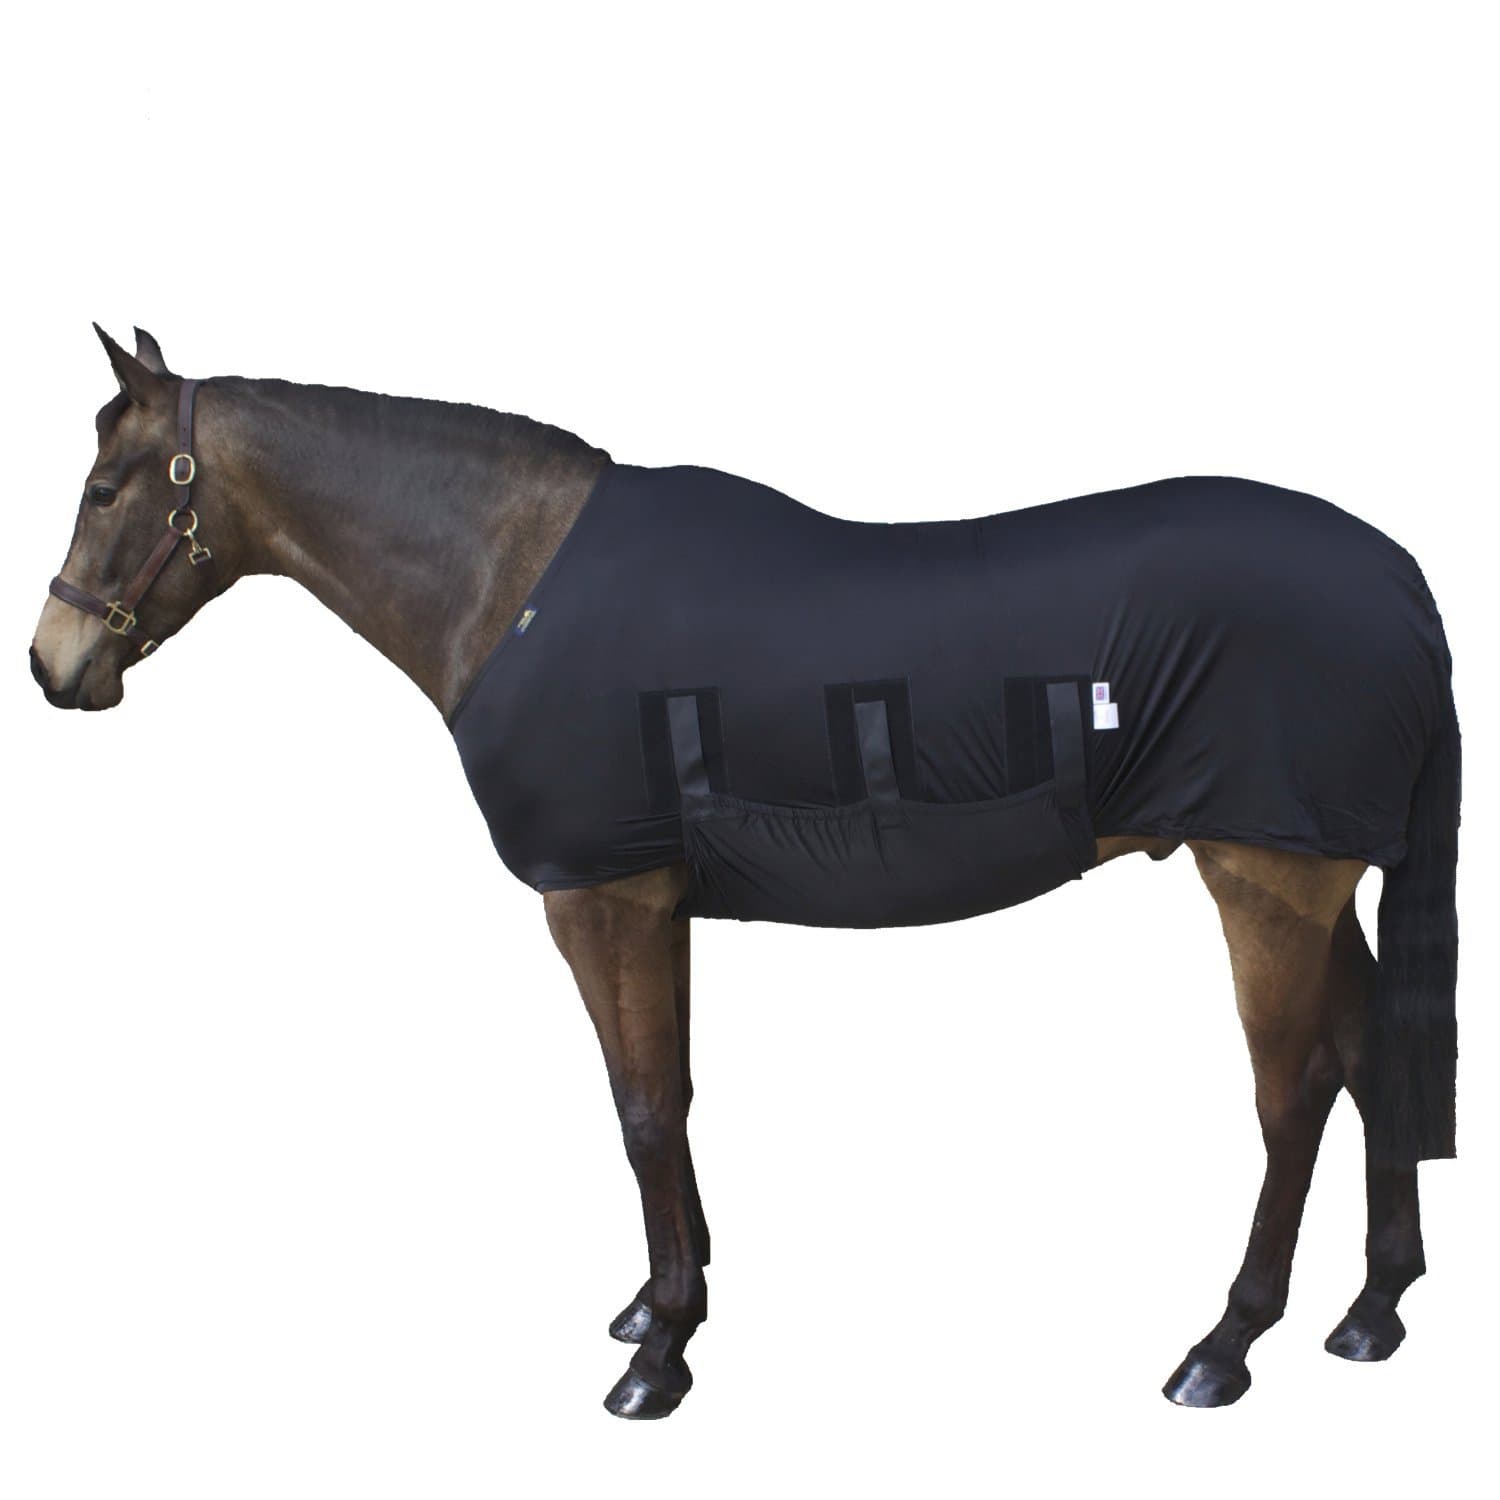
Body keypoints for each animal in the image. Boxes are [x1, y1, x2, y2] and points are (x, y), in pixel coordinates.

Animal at [30, 327, 1459, 1419]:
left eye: (106, 486)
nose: (54, 664)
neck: (513, 581)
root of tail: (1398, 578)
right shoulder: (655, 899)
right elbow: (669, 1094)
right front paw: (664, 1304)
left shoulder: (597, 897)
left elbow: (639, 1109)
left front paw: (660, 1354)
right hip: (1318, 884)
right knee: (1370, 1054)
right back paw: (1372, 1311)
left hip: (1265, 880)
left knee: (1294, 1094)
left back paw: (1225, 1345)